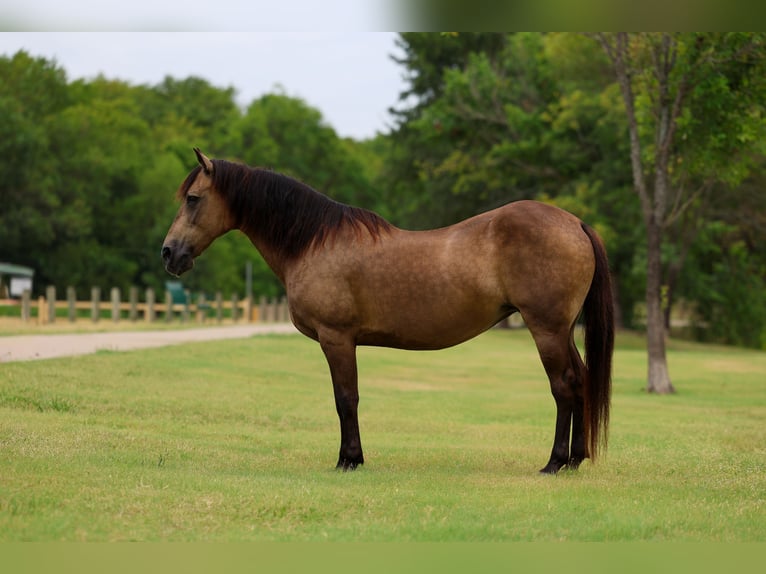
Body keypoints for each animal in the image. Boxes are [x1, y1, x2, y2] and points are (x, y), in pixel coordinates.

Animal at [162, 149, 614, 474]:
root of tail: (574, 223)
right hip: (562, 331)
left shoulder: (337, 339)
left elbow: (346, 398)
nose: (169, 253)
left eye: (193, 199)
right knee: (581, 381)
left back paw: (554, 463)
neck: (314, 243)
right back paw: (576, 459)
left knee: (563, 386)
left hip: (546, 329)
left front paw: (349, 459)